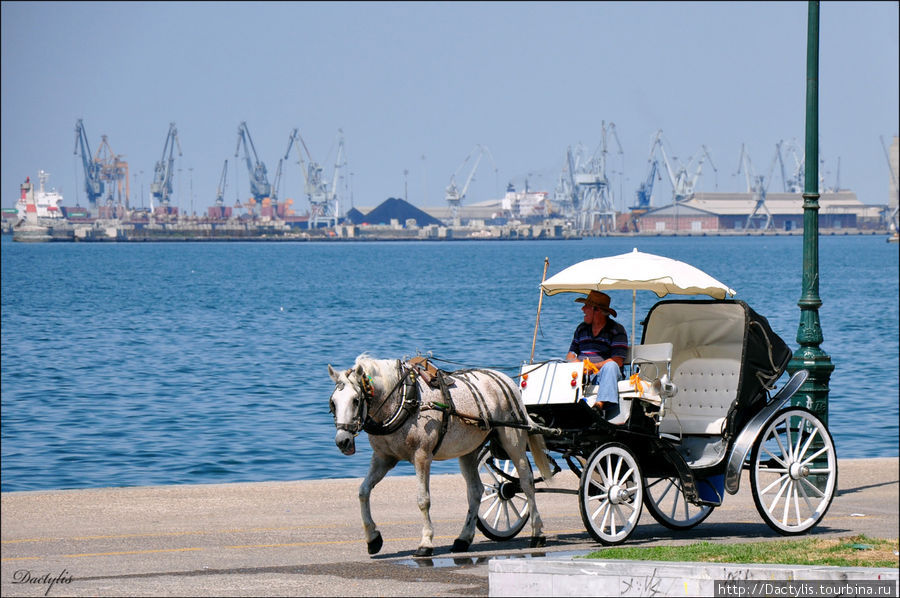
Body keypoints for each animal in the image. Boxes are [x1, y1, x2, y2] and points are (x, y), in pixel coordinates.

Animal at [328, 356, 556, 556]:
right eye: (333, 403)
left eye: (356, 400)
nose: (342, 441)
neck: (403, 400)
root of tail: (506, 380)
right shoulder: (384, 458)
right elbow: (363, 492)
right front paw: (373, 538)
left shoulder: (422, 456)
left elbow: (423, 500)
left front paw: (425, 543)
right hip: (469, 450)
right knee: (476, 491)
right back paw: (463, 538)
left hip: (512, 439)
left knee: (526, 482)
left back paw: (537, 533)